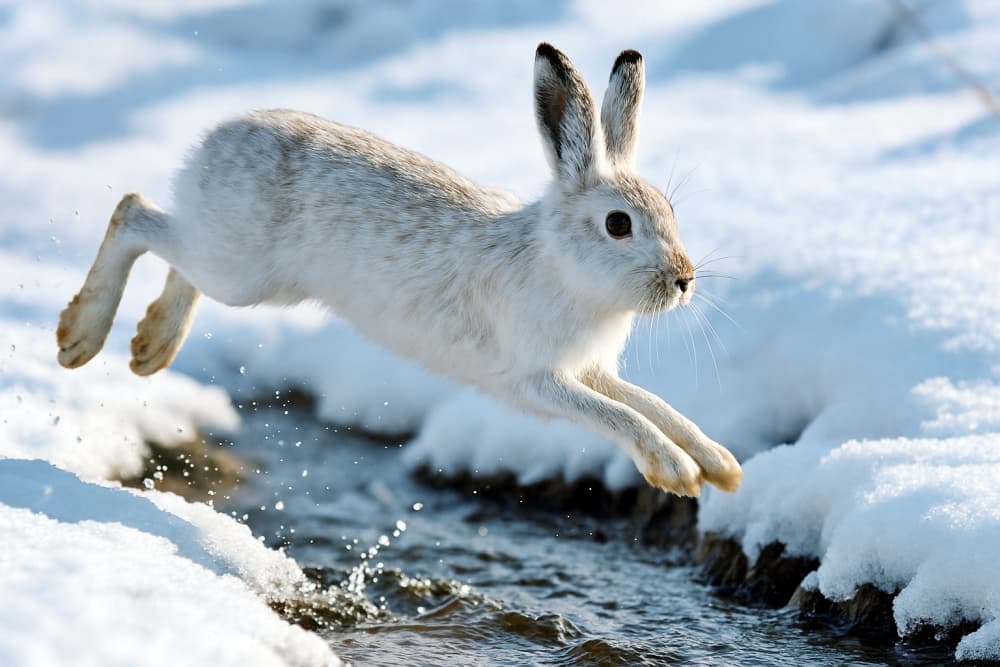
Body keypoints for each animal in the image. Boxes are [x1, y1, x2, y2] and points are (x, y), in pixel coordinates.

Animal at [56, 43, 742, 497]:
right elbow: (620, 416)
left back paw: (151, 344)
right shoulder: (538, 379)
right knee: (135, 213)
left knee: (175, 252)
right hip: (237, 270)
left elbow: (653, 404)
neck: (560, 264)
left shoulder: (593, 370)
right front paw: (677, 473)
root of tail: (211, 141)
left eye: (671, 210)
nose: (684, 281)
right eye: (618, 224)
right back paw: (79, 337)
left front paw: (719, 466)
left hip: (237, 269)